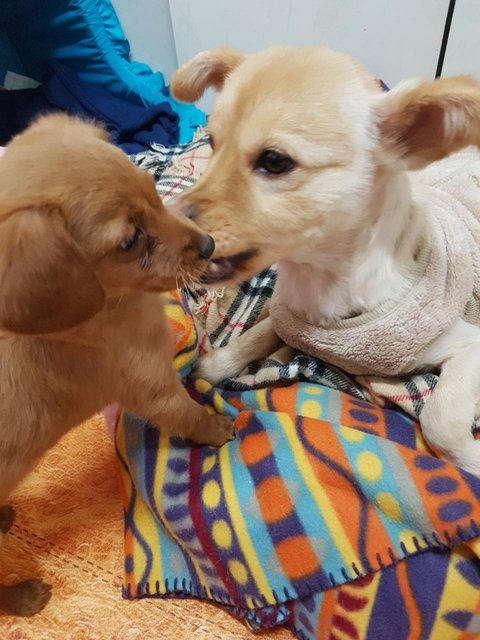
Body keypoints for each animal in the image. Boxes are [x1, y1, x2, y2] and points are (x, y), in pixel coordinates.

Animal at [0, 114, 233, 617]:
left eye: (152, 188)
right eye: (129, 241)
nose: (209, 245)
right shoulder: (153, 390)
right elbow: (190, 414)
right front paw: (218, 427)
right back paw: (24, 597)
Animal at [170, 45, 480, 477]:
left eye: (274, 161)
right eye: (211, 143)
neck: (320, 282)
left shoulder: (470, 345)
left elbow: (441, 419)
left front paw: (472, 458)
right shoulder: (289, 314)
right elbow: (258, 333)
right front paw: (216, 364)